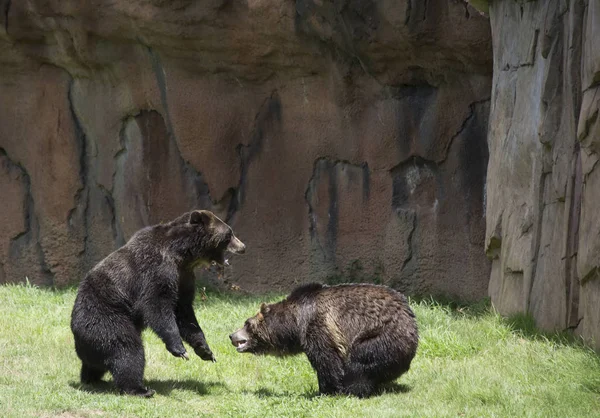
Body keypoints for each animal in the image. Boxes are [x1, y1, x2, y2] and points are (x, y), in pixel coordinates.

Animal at [71, 211, 246, 396]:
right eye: (229, 234)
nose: (243, 246)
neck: (182, 255)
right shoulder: (156, 270)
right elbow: (157, 306)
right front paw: (180, 349)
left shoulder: (184, 277)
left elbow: (184, 313)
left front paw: (205, 350)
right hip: (105, 315)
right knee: (126, 348)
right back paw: (139, 389)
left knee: (97, 363)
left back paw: (91, 378)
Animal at [229, 282, 418, 396]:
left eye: (247, 323)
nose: (231, 335)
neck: (294, 324)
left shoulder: (319, 327)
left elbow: (327, 360)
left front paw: (326, 390)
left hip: (381, 335)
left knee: (360, 360)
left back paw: (353, 389)